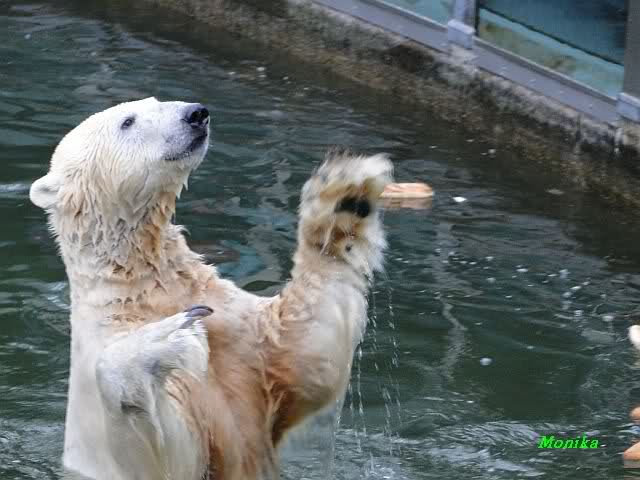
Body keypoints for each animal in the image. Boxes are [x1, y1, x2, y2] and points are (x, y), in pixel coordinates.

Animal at [29, 97, 393, 480]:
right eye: (127, 121)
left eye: (156, 101)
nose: (195, 113)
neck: (137, 289)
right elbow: (163, 452)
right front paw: (168, 336)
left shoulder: (241, 330)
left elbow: (307, 349)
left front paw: (343, 196)